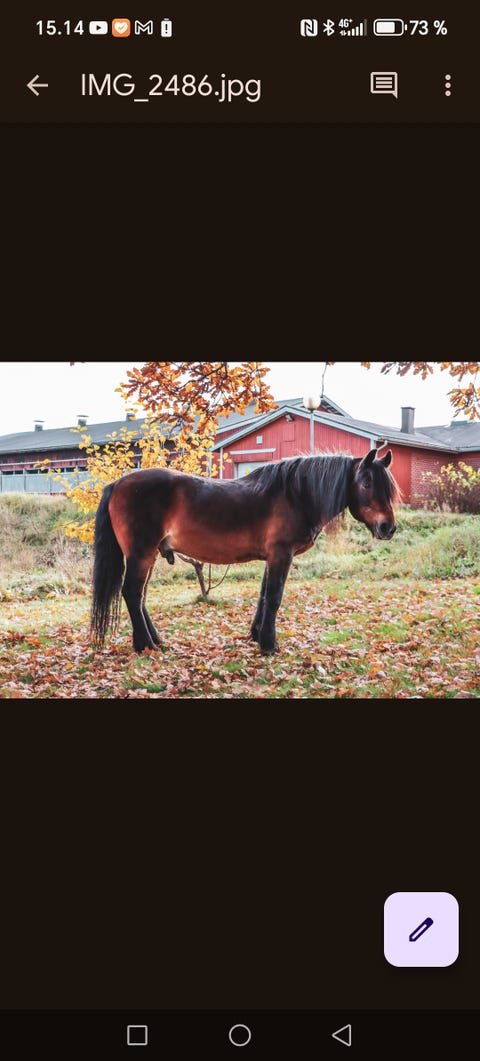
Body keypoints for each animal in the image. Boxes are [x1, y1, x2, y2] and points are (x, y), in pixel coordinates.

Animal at [90, 448, 399, 656]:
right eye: (367, 483)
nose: (388, 527)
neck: (296, 494)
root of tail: (117, 484)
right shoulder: (281, 555)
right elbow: (274, 597)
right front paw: (269, 644)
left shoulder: (272, 558)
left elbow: (263, 596)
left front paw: (256, 635)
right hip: (141, 554)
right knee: (132, 593)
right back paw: (145, 645)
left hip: (149, 555)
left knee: (140, 596)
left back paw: (153, 640)